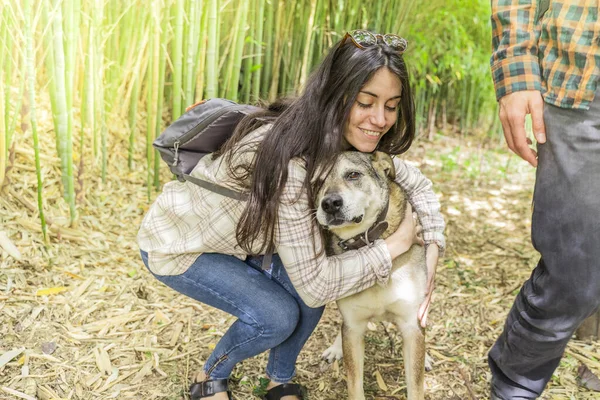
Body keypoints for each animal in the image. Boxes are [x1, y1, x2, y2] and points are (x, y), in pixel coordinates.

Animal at [316, 151, 428, 400]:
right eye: (316, 182)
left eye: (353, 175)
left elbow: (416, 387)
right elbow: (354, 385)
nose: (329, 204)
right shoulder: (354, 326)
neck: (367, 242)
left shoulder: (410, 324)